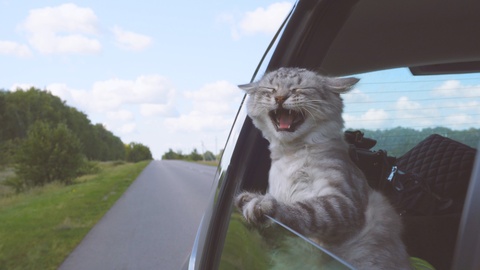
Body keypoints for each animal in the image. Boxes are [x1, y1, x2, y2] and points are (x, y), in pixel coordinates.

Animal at [234, 67, 410, 270]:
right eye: (271, 89)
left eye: (297, 89)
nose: (279, 98)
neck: (290, 154)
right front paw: (247, 197)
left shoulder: (342, 202)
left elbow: (306, 210)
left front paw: (262, 205)